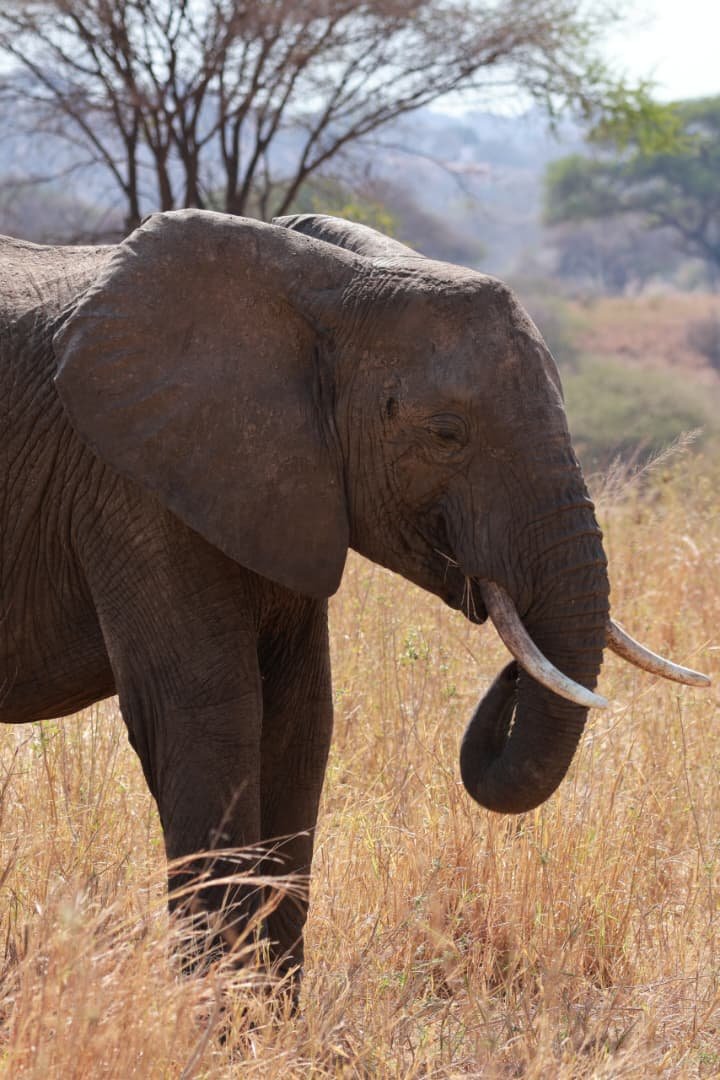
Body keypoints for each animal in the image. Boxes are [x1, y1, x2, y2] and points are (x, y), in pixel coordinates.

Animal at [0, 209, 709, 986]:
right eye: (446, 434)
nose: (510, 667)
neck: (321, 289)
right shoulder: (131, 487)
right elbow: (203, 713)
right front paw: (217, 1014)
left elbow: (301, 720)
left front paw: (269, 1014)